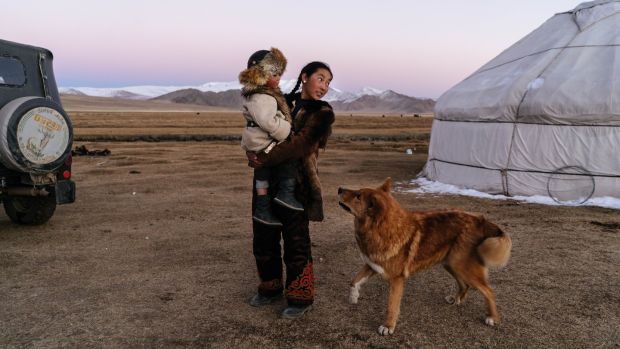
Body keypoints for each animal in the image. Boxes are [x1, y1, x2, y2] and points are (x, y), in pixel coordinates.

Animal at [336, 177, 512, 334]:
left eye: (358, 196)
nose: (339, 189)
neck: (381, 229)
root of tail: (481, 221)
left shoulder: (396, 279)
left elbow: (391, 306)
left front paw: (388, 326)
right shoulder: (372, 265)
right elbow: (354, 281)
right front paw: (354, 297)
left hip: (461, 265)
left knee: (488, 291)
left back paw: (492, 317)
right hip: (451, 264)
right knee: (465, 285)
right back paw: (456, 299)